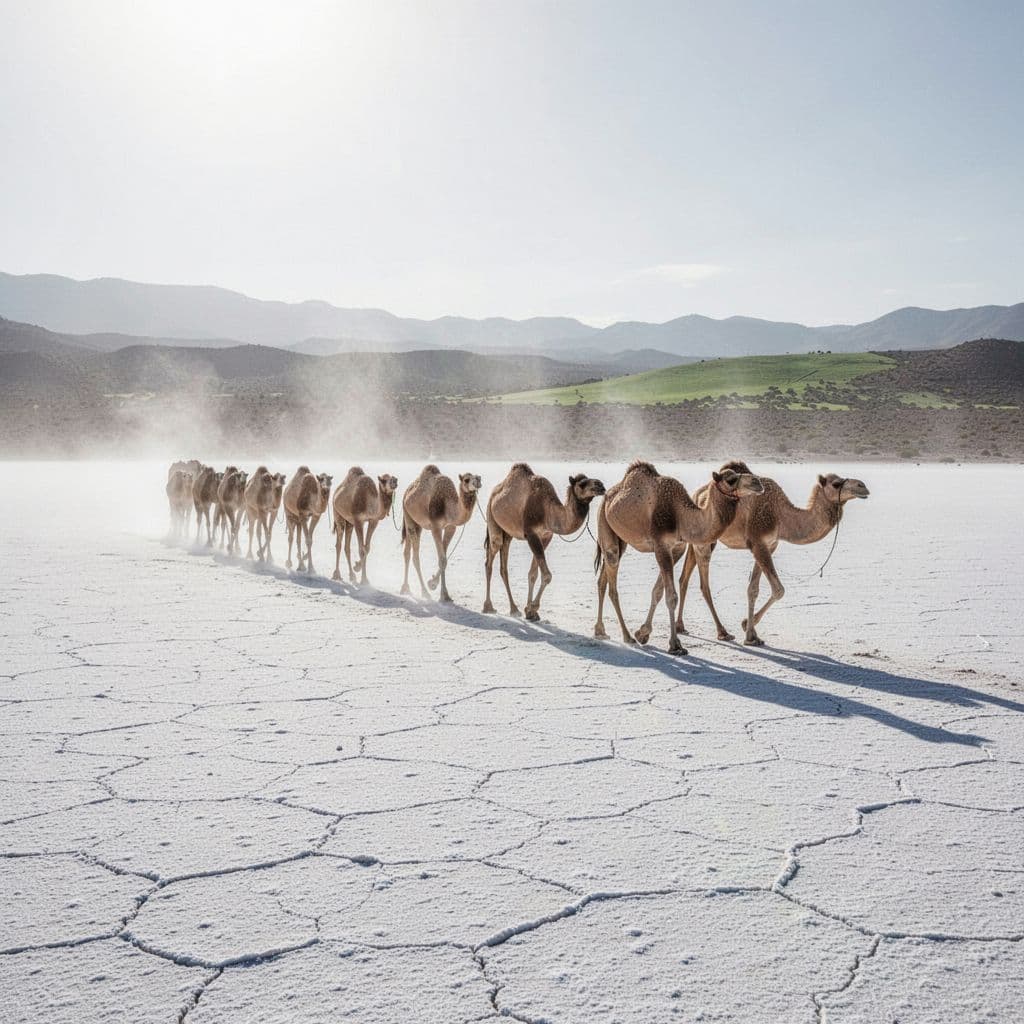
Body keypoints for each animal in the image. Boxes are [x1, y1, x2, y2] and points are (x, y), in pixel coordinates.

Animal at [400, 465, 481, 602]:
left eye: (478, 477)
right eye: (466, 480)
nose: (478, 483)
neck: (447, 505)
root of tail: (407, 492)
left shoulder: (450, 527)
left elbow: (444, 558)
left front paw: (433, 583)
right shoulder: (435, 527)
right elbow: (442, 559)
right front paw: (444, 595)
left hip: (417, 523)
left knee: (407, 552)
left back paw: (405, 588)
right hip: (407, 514)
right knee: (415, 556)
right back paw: (424, 592)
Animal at [483, 463, 606, 620]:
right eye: (582, 483)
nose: (601, 485)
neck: (548, 511)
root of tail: (494, 494)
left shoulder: (546, 536)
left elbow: (533, 574)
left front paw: (530, 611)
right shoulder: (531, 534)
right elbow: (547, 576)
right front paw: (533, 607)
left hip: (508, 533)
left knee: (503, 566)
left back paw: (514, 609)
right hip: (491, 517)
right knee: (490, 558)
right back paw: (488, 607)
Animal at [593, 460, 764, 654]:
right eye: (731, 479)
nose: (758, 482)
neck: (680, 516)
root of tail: (608, 495)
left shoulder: (677, 549)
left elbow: (658, 591)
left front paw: (643, 633)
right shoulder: (661, 546)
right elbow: (671, 597)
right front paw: (675, 645)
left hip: (620, 538)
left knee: (602, 580)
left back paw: (600, 631)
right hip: (603, 521)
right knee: (612, 581)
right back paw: (627, 636)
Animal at [654, 466, 869, 646]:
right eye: (836, 483)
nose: (863, 486)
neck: (781, 516)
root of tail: (697, 494)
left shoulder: (769, 545)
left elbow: (753, 589)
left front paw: (752, 633)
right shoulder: (758, 542)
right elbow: (778, 590)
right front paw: (746, 629)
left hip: (694, 540)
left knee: (683, 577)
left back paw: (681, 626)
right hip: (704, 543)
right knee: (703, 584)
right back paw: (722, 632)